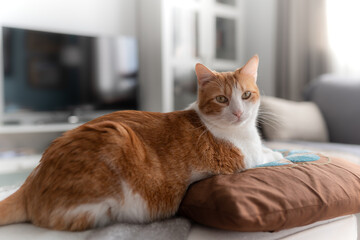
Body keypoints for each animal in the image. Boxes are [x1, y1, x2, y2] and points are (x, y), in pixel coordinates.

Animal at [0, 55, 282, 232]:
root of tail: (32, 180)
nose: (238, 113)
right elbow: (266, 155)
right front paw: (280, 154)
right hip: (116, 144)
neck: (241, 132)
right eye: (222, 99)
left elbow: (267, 149)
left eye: (246, 95)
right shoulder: (243, 160)